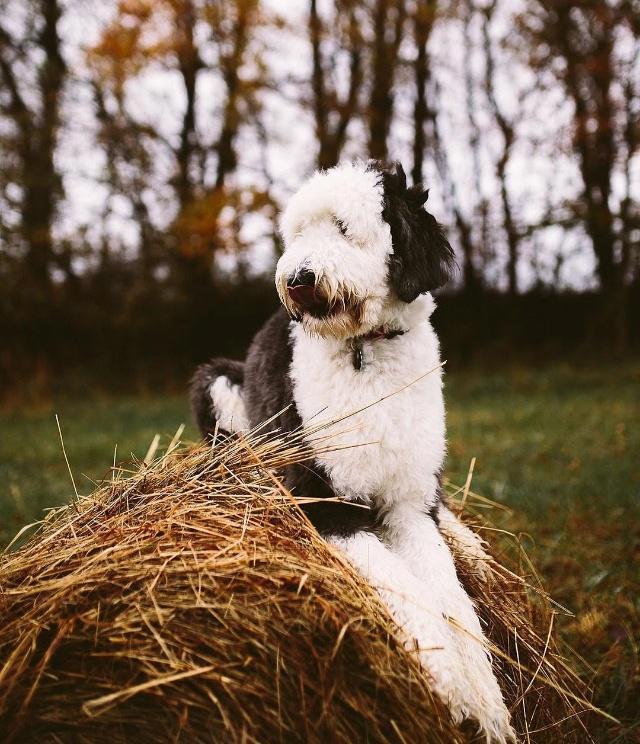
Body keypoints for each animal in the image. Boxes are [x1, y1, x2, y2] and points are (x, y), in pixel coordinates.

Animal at [190, 160, 516, 740]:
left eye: (343, 228)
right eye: (299, 232)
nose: (297, 278)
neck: (366, 351)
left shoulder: (409, 503)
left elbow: (452, 597)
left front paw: (486, 701)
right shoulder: (326, 501)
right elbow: (406, 588)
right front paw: (454, 688)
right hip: (219, 383)